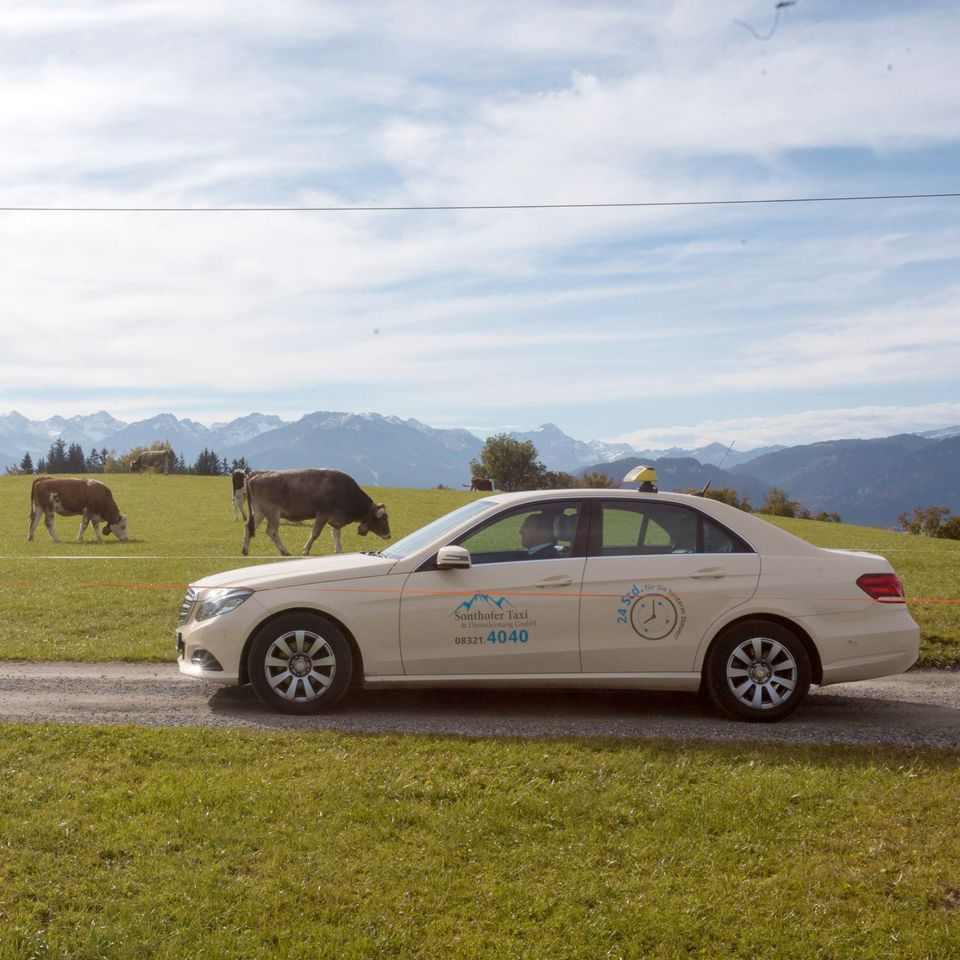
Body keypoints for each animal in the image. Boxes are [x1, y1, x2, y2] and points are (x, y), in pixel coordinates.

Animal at [244, 466, 390, 556]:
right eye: (383, 519)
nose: (388, 535)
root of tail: (257, 474)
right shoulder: (322, 514)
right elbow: (315, 533)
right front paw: (306, 550)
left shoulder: (335, 518)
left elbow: (336, 533)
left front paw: (339, 549)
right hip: (272, 512)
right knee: (272, 531)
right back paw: (284, 551)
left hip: (259, 512)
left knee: (248, 526)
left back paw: (245, 549)